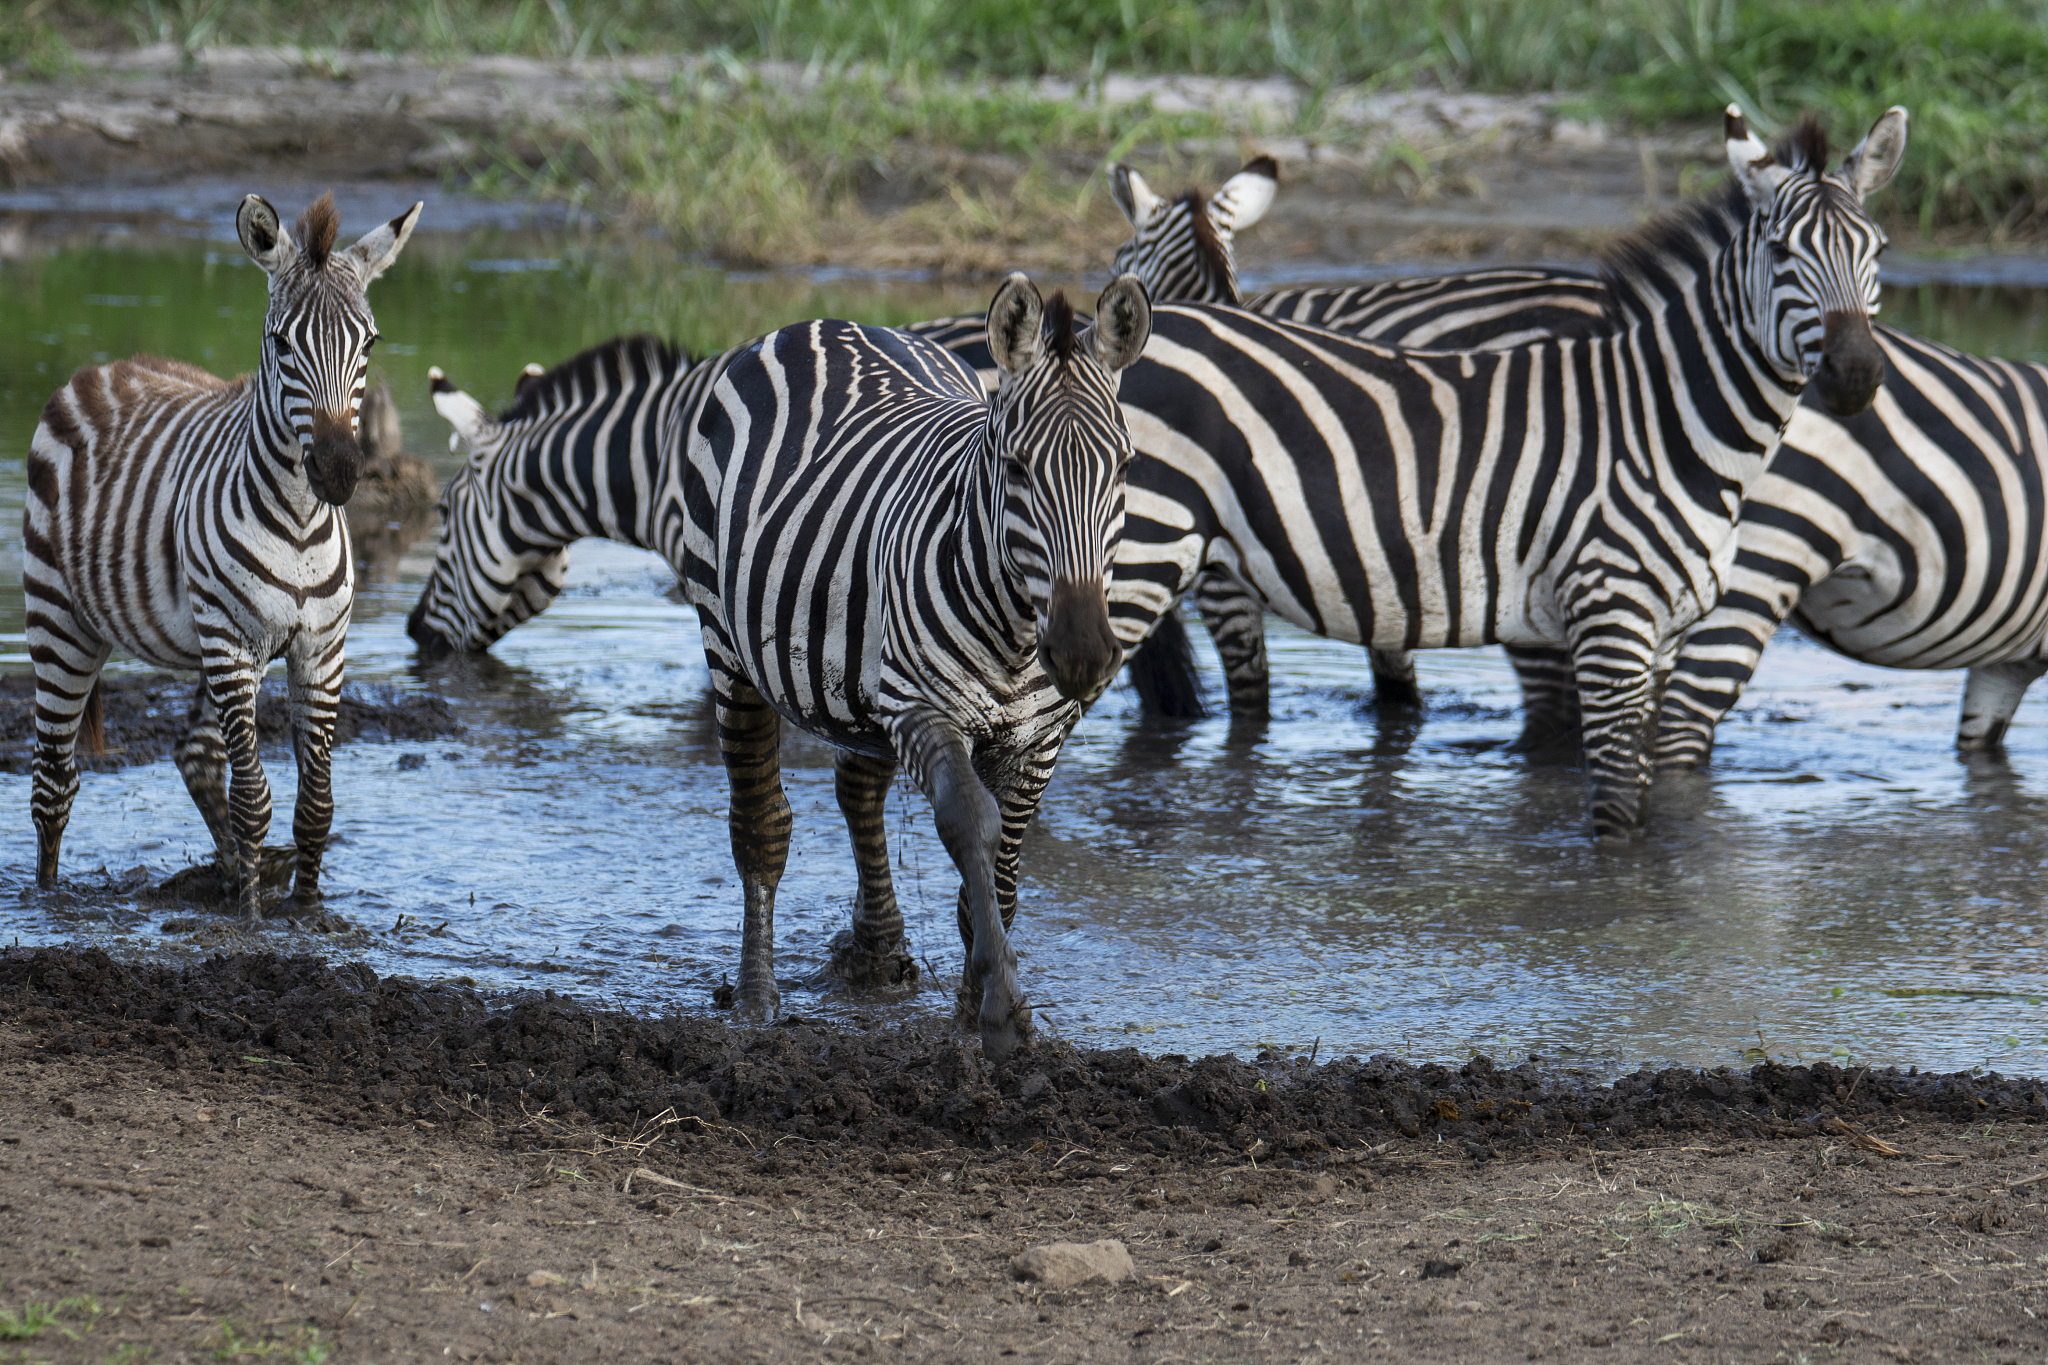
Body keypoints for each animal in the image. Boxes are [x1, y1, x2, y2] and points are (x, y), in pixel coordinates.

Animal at [25, 192, 420, 920]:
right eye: (281, 342)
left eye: (370, 343)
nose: (339, 472)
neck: (300, 523)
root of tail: (108, 367)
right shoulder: (233, 641)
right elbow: (254, 796)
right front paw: (254, 921)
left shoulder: (321, 647)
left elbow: (315, 803)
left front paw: (306, 912)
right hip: (62, 622)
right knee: (54, 781)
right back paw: (46, 900)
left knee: (194, 752)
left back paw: (238, 871)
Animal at [415, 275, 1151, 1059]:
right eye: (1014, 468)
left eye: (1125, 467)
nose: (1082, 649)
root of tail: (826, 323)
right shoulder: (916, 703)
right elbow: (968, 828)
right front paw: (999, 1010)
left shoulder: (1039, 736)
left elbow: (1002, 869)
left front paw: (972, 1006)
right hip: (732, 642)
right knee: (761, 828)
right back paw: (757, 1001)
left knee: (853, 792)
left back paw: (871, 953)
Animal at [1103, 107, 1905, 841]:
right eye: (1780, 250)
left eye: (1878, 249)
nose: (1857, 373)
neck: (1665, 422)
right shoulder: (1610, 614)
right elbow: (1615, 814)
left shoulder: (1656, 630)